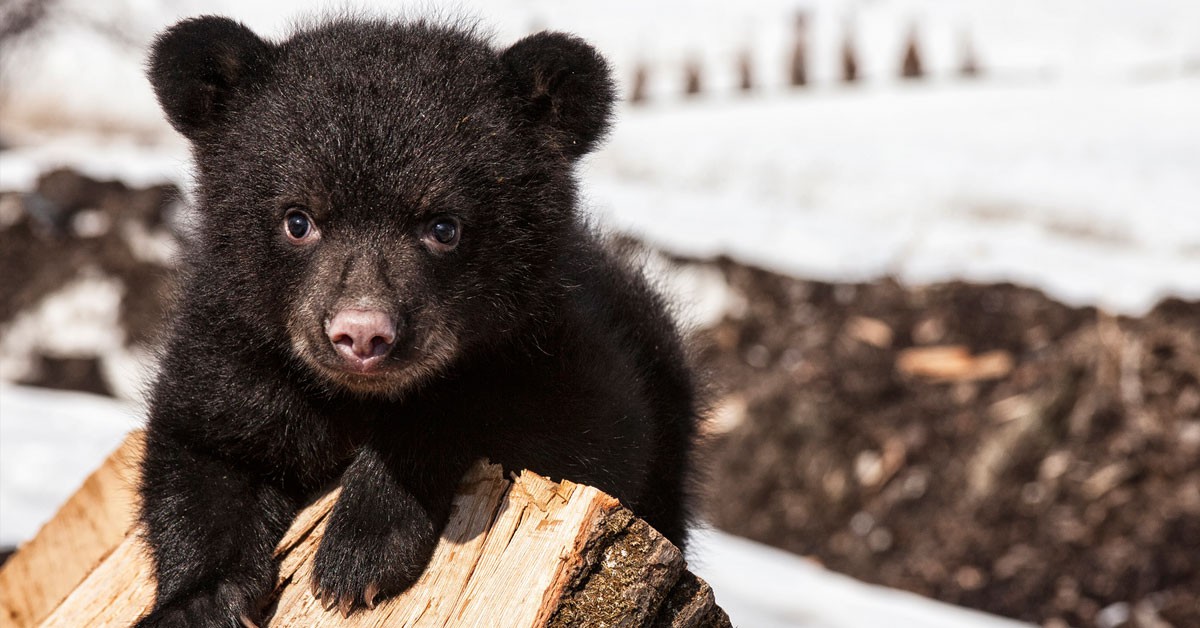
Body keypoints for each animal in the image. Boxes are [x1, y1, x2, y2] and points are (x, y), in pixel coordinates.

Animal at [135, 14, 700, 627]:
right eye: (297, 220)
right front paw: (200, 601)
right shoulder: (231, 352)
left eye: (443, 226)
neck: (355, 398)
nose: (362, 334)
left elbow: (578, 432)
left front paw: (360, 551)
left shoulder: (565, 351)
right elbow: (202, 452)